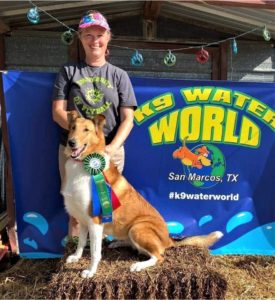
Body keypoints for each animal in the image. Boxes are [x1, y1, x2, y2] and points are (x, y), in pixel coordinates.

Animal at [62, 112, 224, 278]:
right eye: (73, 127)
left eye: (86, 130)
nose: (71, 142)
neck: (82, 164)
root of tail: (169, 239)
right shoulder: (82, 219)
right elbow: (81, 242)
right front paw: (76, 257)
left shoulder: (95, 221)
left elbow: (95, 252)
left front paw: (90, 271)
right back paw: (118, 242)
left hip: (138, 228)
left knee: (158, 256)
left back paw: (138, 265)